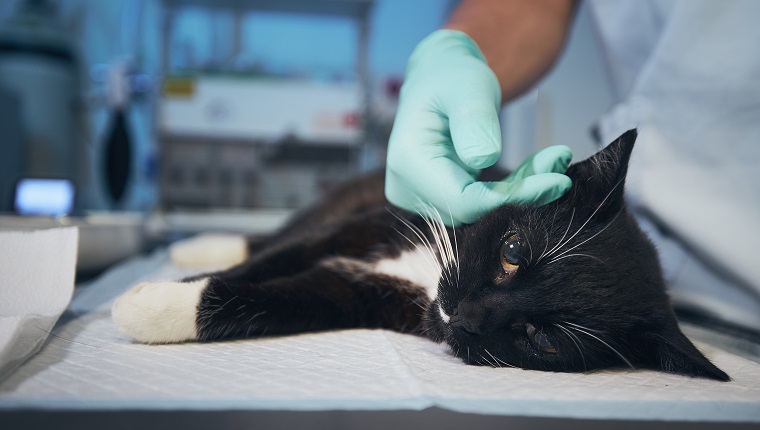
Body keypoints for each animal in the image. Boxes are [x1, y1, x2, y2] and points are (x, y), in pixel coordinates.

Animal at [113, 129, 732, 382]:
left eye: (542, 338)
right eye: (513, 251)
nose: (464, 315)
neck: (426, 276)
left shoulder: (365, 296)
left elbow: (287, 297)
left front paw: (156, 310)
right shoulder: (373, 224)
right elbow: (275, 259)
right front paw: (156, 295)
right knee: (283, 233)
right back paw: (199, 243)